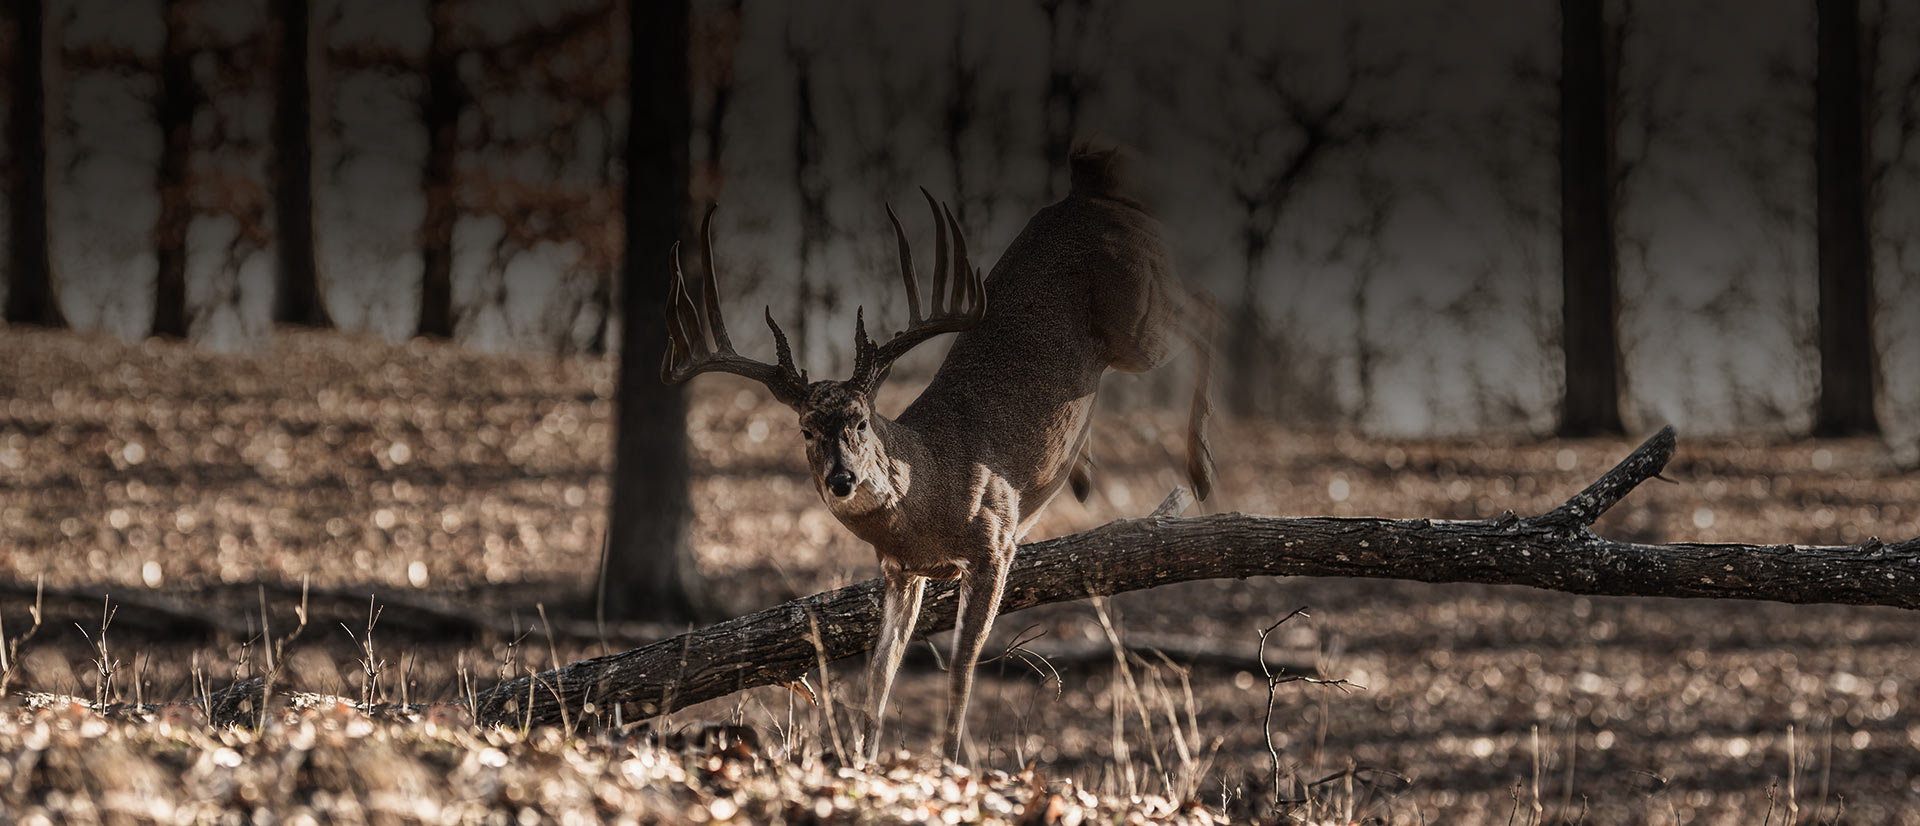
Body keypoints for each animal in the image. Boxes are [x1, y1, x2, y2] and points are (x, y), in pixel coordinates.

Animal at [660, 145, 1213, 756]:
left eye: (860, 420)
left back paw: (1200, 468)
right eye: (805, 429)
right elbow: (879, 675)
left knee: (1208, 313)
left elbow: (960, 672)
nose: (841, 480)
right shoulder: (903, 572)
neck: (926, 489)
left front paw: (950, 761)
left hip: (1135, 320)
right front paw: (863, 757)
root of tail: (1090, 185)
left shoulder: (994, 545)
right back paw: (1085, 472)